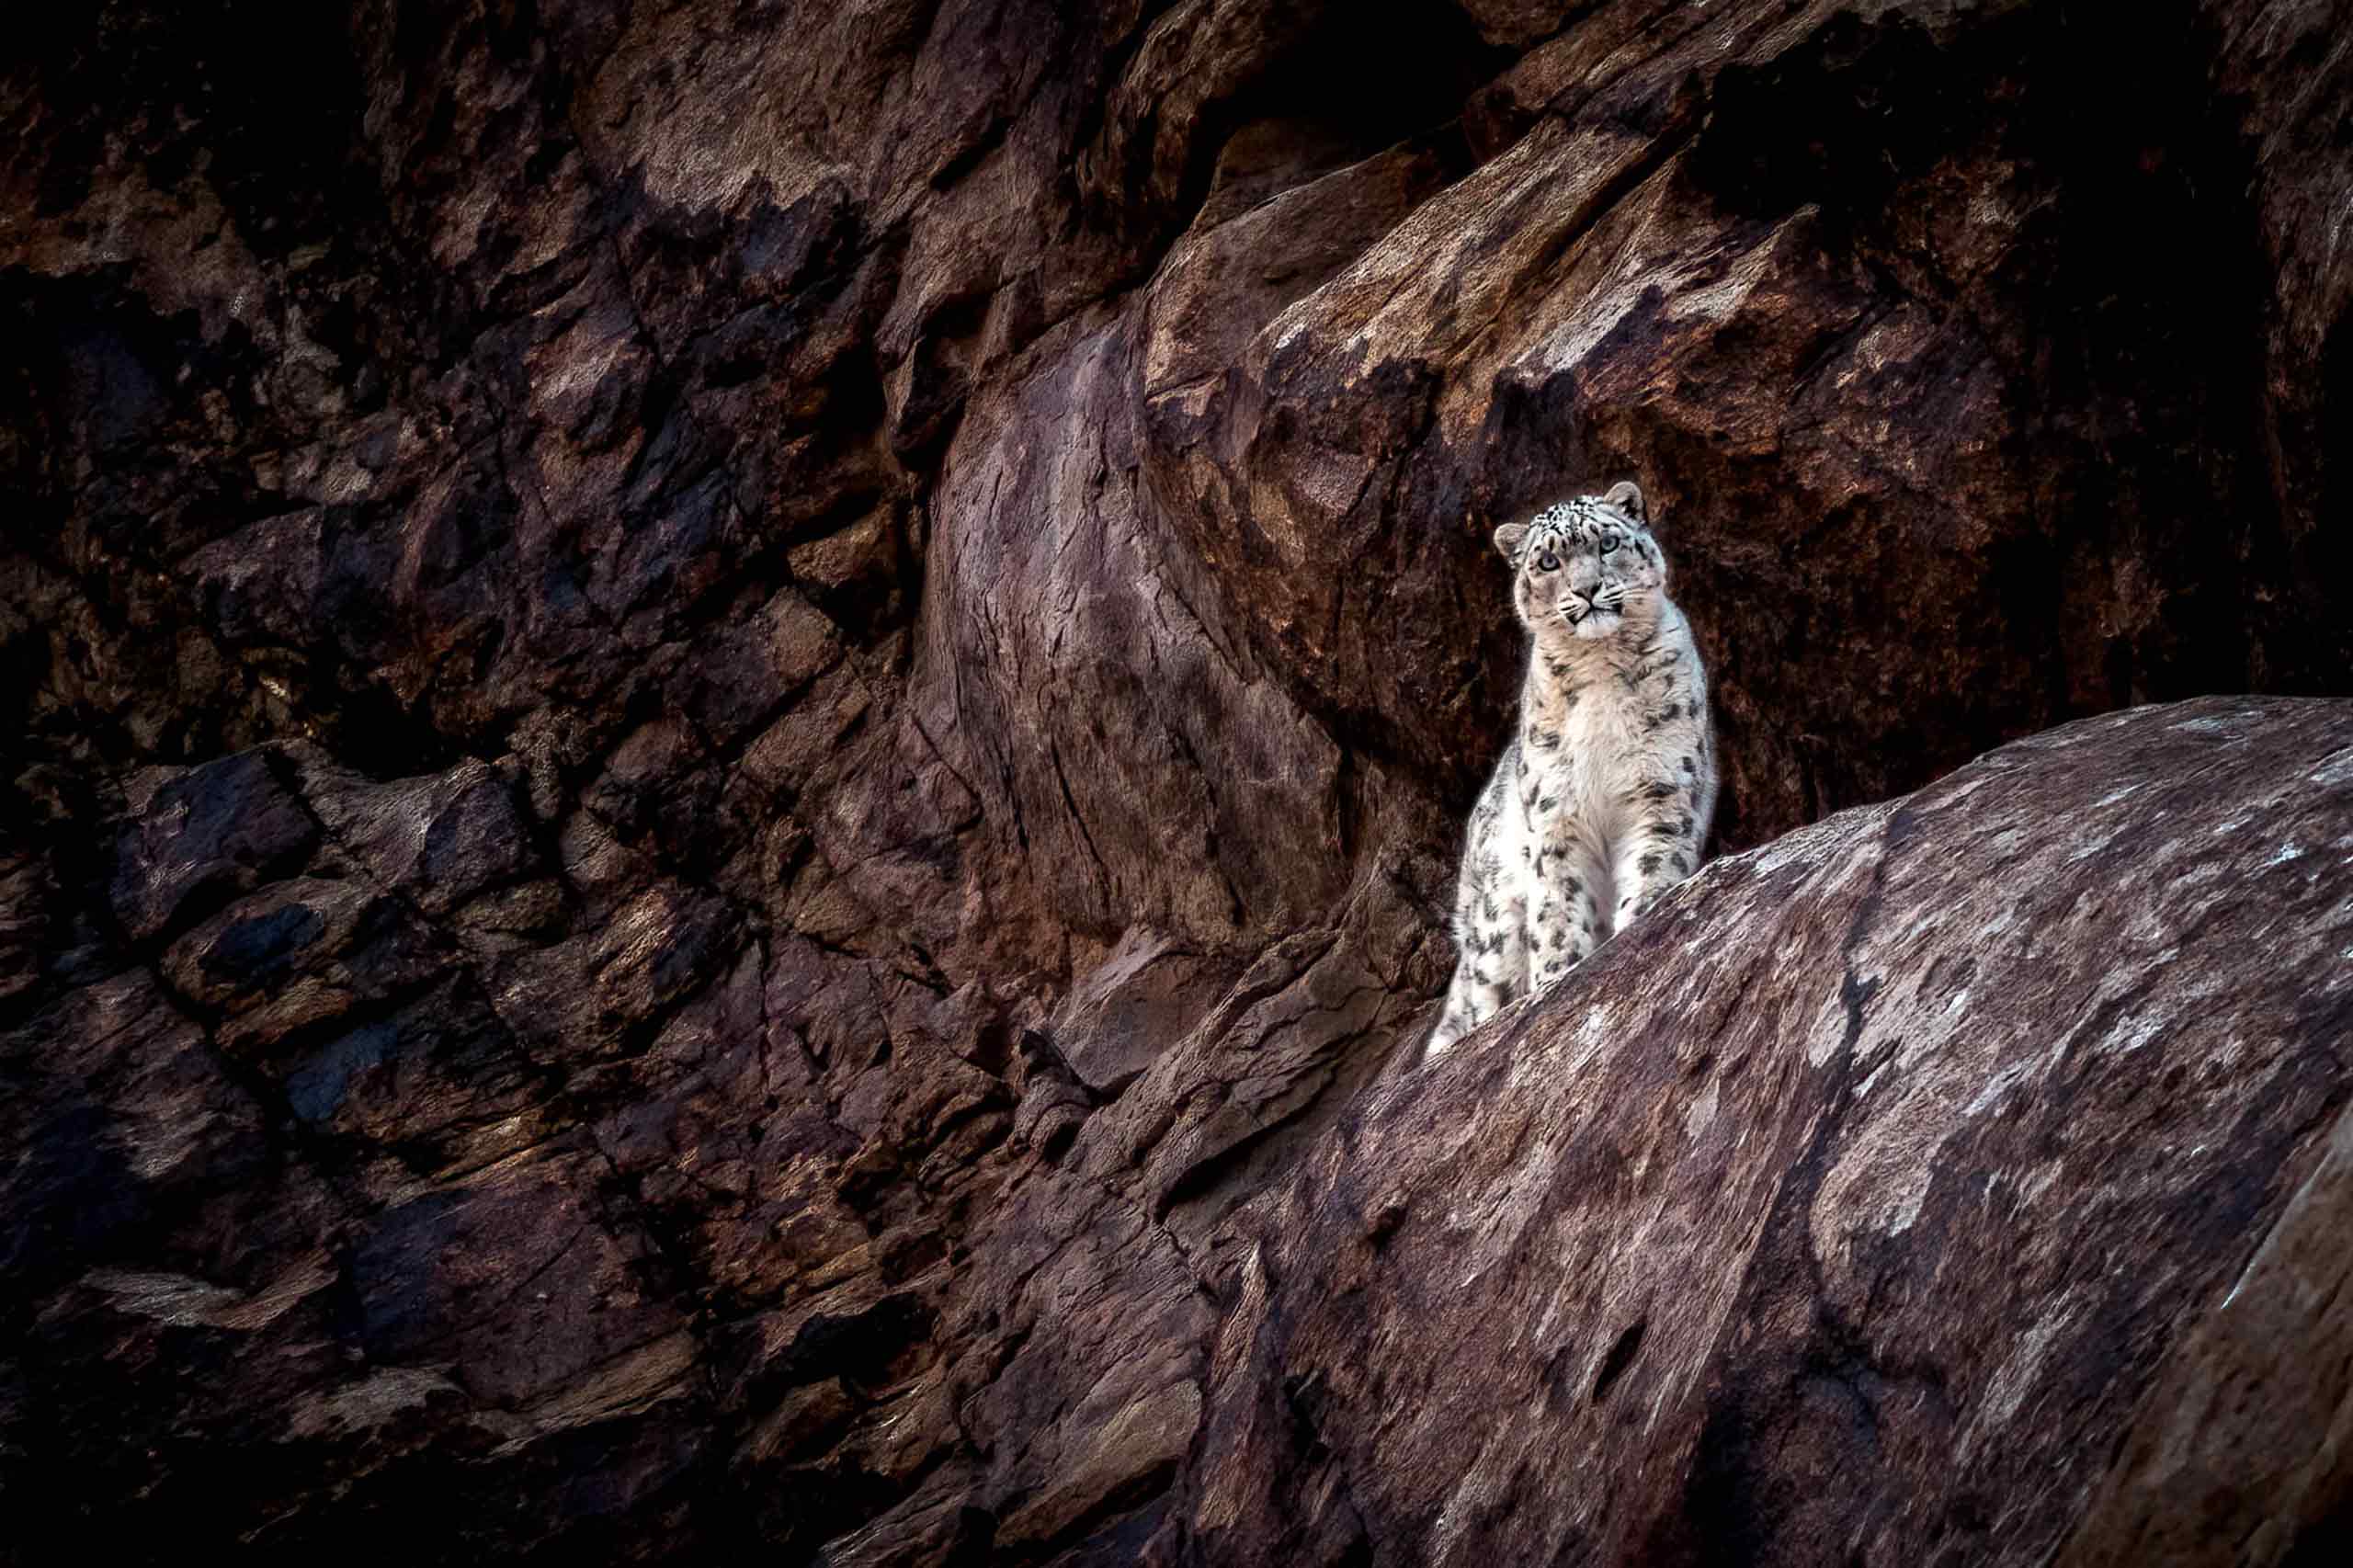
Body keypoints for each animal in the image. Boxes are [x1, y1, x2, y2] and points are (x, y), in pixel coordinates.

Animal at [1421, 480, 1722, 1050]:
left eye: (1607, 544)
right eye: (1548, 561)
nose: (1587, 589)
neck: (1602, 667)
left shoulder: (1662, 790)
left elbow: (1652, 867)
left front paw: (1639, 922)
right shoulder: (1556, 814)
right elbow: (1557, 905)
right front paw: (1558, 975)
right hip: (1494, 923)